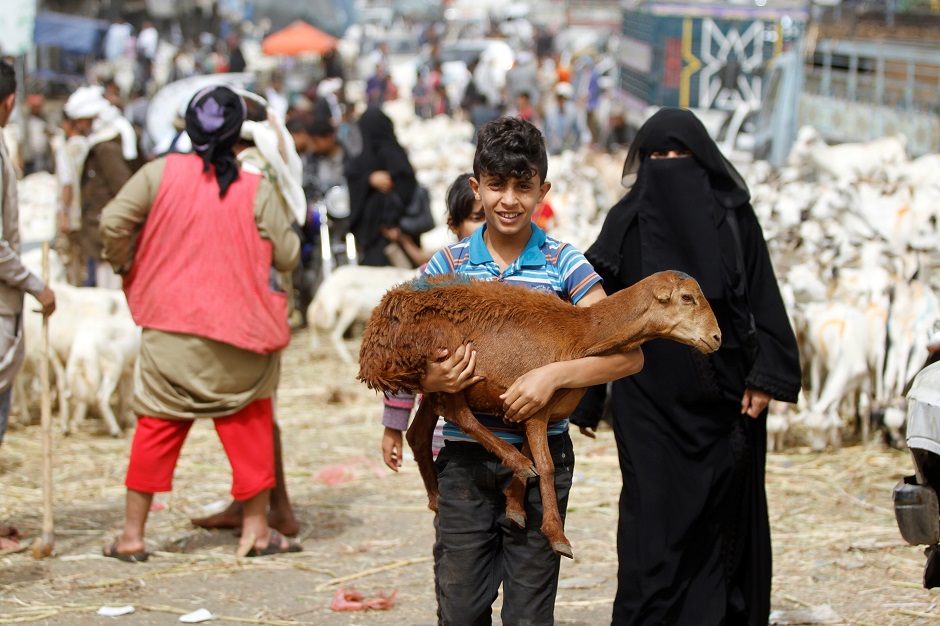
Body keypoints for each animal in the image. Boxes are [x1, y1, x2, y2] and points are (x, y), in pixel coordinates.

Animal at [358, 268, 720, 556]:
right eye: (687, 297)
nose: (716, 337)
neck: (583, 332)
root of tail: (373, 337)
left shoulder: (535, 411)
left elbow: (533, 453)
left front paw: (515, 506)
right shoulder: (537, 409)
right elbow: (545, 467)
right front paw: (557, 535)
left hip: (432, 386)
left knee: (418, 434)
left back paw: (435, 498)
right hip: (447, 359)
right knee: (460, 416)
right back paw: (511, 463)